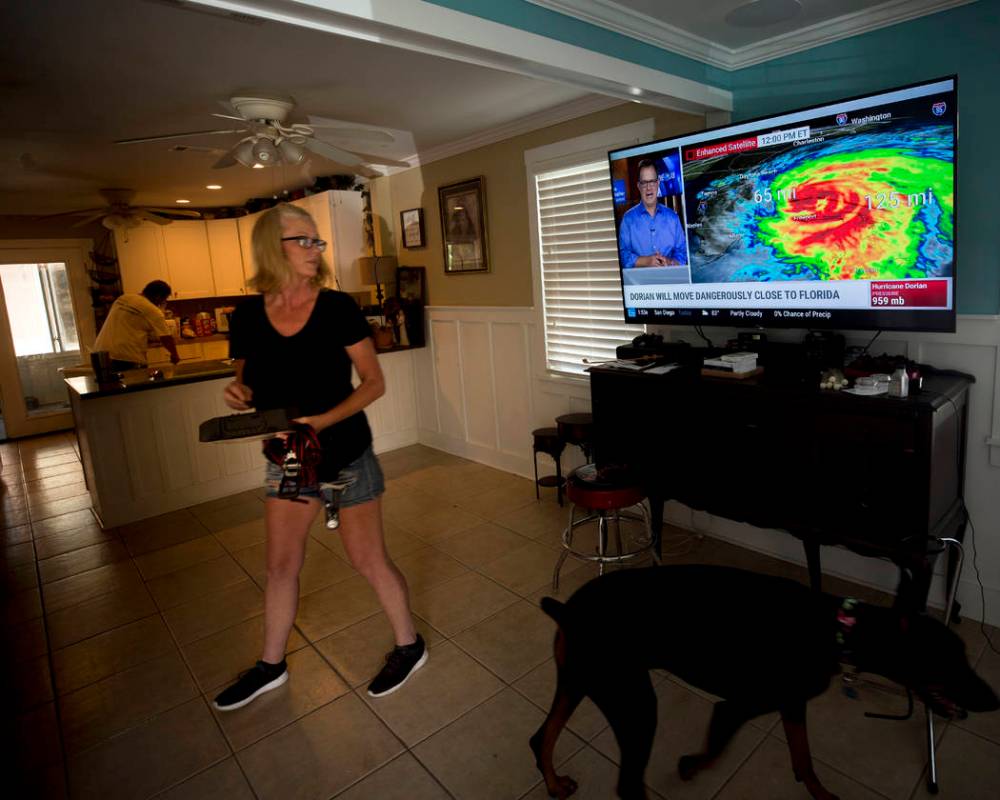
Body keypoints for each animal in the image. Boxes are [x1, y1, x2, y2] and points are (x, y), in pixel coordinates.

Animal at [528, 564, 996, 800]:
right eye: (951, 660)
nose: (994, 699)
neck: (837, 629)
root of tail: (566, 609)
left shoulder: (792, 703)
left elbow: (804, 760)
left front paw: (823, 796)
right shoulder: (736, 707)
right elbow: (714, 751)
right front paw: (688, 766)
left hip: (582, 682)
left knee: (541, 736)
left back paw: (554, 784)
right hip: (634, 703)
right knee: (627, 784)